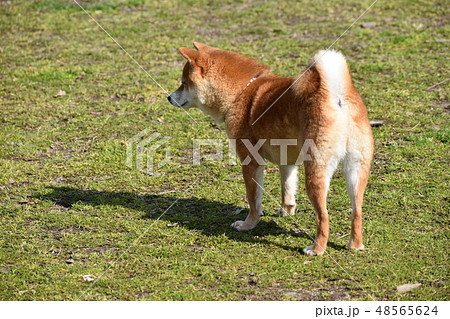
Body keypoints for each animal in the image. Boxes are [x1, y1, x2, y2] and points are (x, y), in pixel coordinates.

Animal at [168, 43, 372, 258]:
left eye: (183, 83)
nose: (169, 97)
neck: (241, 91)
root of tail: (337, 98)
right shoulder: (287, 160)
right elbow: (287, 189)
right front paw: (286, 211)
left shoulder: (251, 162)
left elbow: (253, 200)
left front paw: (248, 225)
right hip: (356, 172)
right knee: (357, 212)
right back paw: (354, 244)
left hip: (316, 172)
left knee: (323, 217)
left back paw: (317, 249)